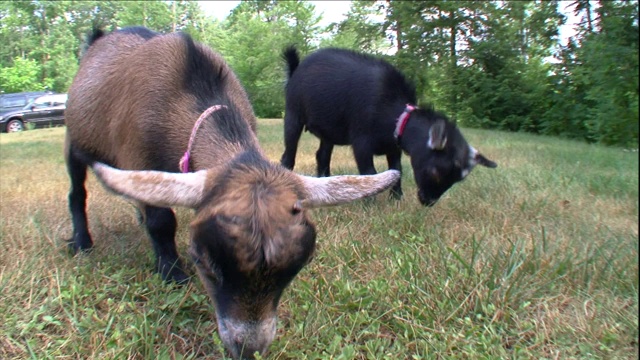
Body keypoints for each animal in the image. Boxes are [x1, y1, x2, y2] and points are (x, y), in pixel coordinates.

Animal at [62, 26, 398, 358]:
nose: (248, 348)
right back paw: (82, 241)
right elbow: (161, 221)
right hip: (74, 141)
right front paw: (172, 273)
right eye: (202, 260)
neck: (188, 85)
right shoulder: (137, 154)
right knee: (77, 193)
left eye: (297, 267)